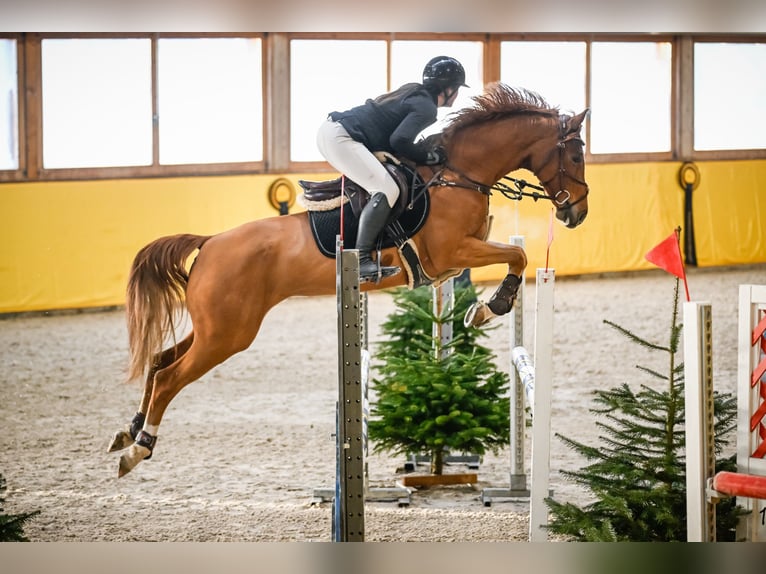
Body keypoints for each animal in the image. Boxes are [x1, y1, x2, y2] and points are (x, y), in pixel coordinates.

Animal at [108, 83, 590, 477]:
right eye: (575, 155)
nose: (577, 213)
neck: (457, 174)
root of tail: (208, 244)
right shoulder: (453, 252)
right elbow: (519, 255)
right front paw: (492, 307)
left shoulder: (454, 262)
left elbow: (511, 257)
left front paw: (480, 309)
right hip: (227, 335)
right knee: (169, 377)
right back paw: (138, 449)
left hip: (216, 328)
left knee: (159, 361)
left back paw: (129, 430)